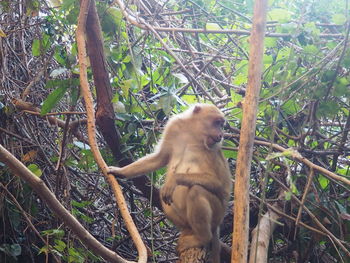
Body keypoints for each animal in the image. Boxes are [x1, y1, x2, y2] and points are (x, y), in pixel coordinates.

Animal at [108, 104, 231, 262]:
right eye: (217, 123)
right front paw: (120, 171)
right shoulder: (174, 126)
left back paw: (203, 237)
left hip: (218, 213)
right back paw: (189, 230)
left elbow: (221, 186)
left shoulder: (214, 148)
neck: (194, 132)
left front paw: (174, 179)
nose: (221, 134)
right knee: (165, 198)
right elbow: (160, 158)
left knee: (196, 190)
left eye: (221, 124)